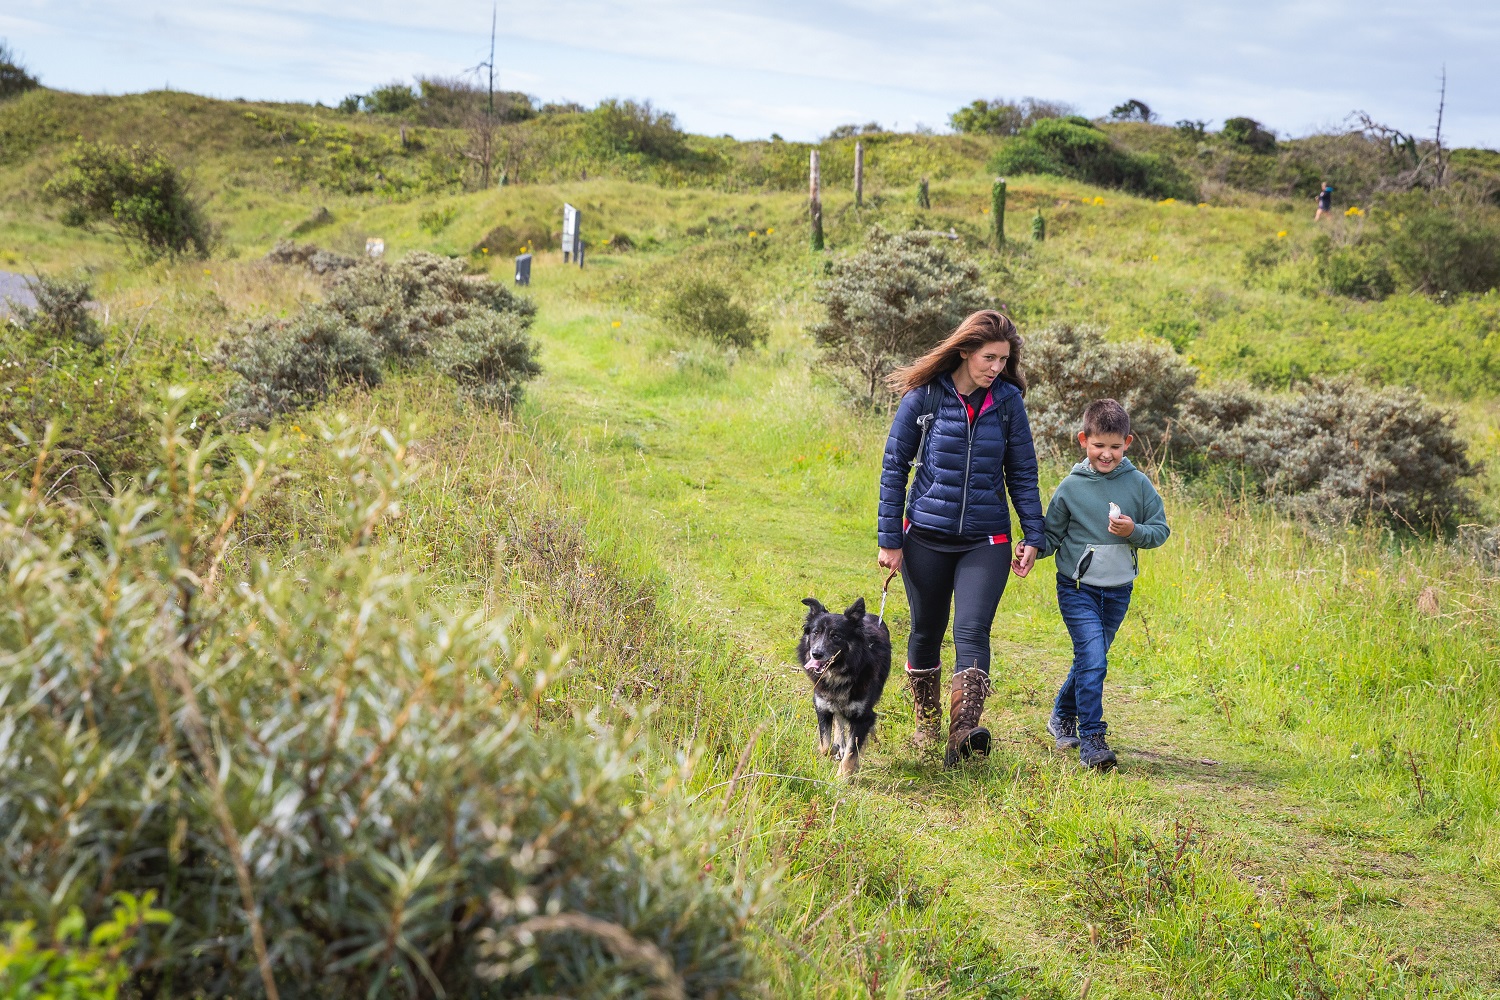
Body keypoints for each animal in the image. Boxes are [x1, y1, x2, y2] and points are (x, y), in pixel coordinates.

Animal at [798, 599, 888, 779]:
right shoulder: (822, 707)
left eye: (836, 636)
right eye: (815, 633)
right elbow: (824, 745)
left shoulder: (863, 717)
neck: (838, 675)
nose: (816, 654)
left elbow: (852, 753)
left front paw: (842, 778)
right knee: (839, 721)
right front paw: (834, 749)